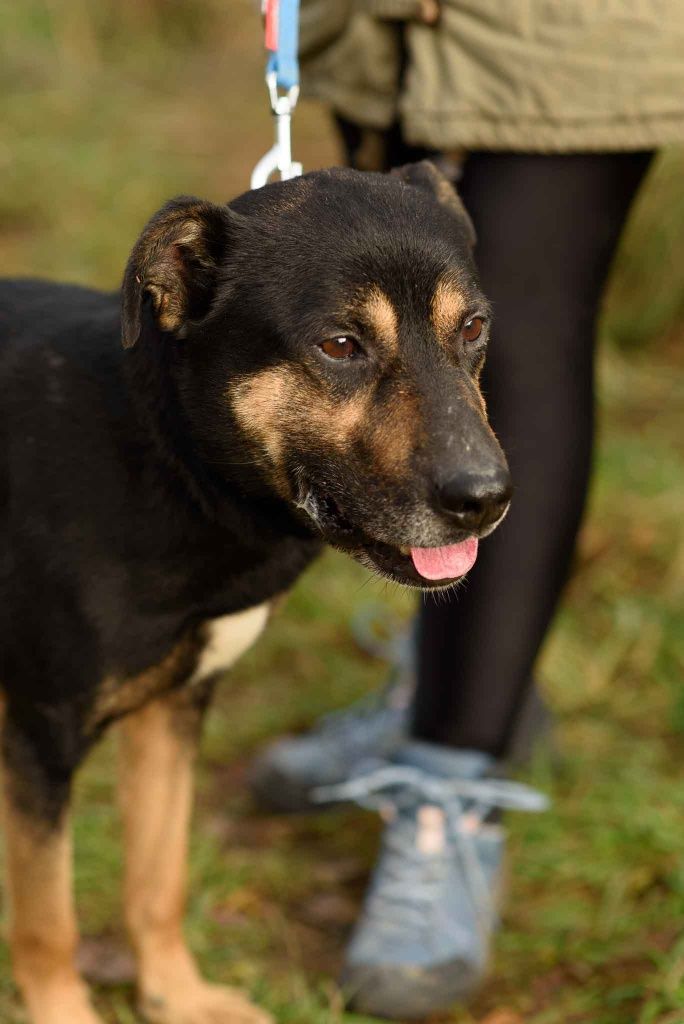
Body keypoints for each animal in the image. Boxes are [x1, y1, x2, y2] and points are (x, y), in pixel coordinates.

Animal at [0, 161, 509, 1024]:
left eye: (472, 327)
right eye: (340, 345)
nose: (488, 498)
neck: (167, 454)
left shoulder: (174, 710)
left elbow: (157, 876)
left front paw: (176, 996)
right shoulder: (39, 735)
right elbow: (47, 920)